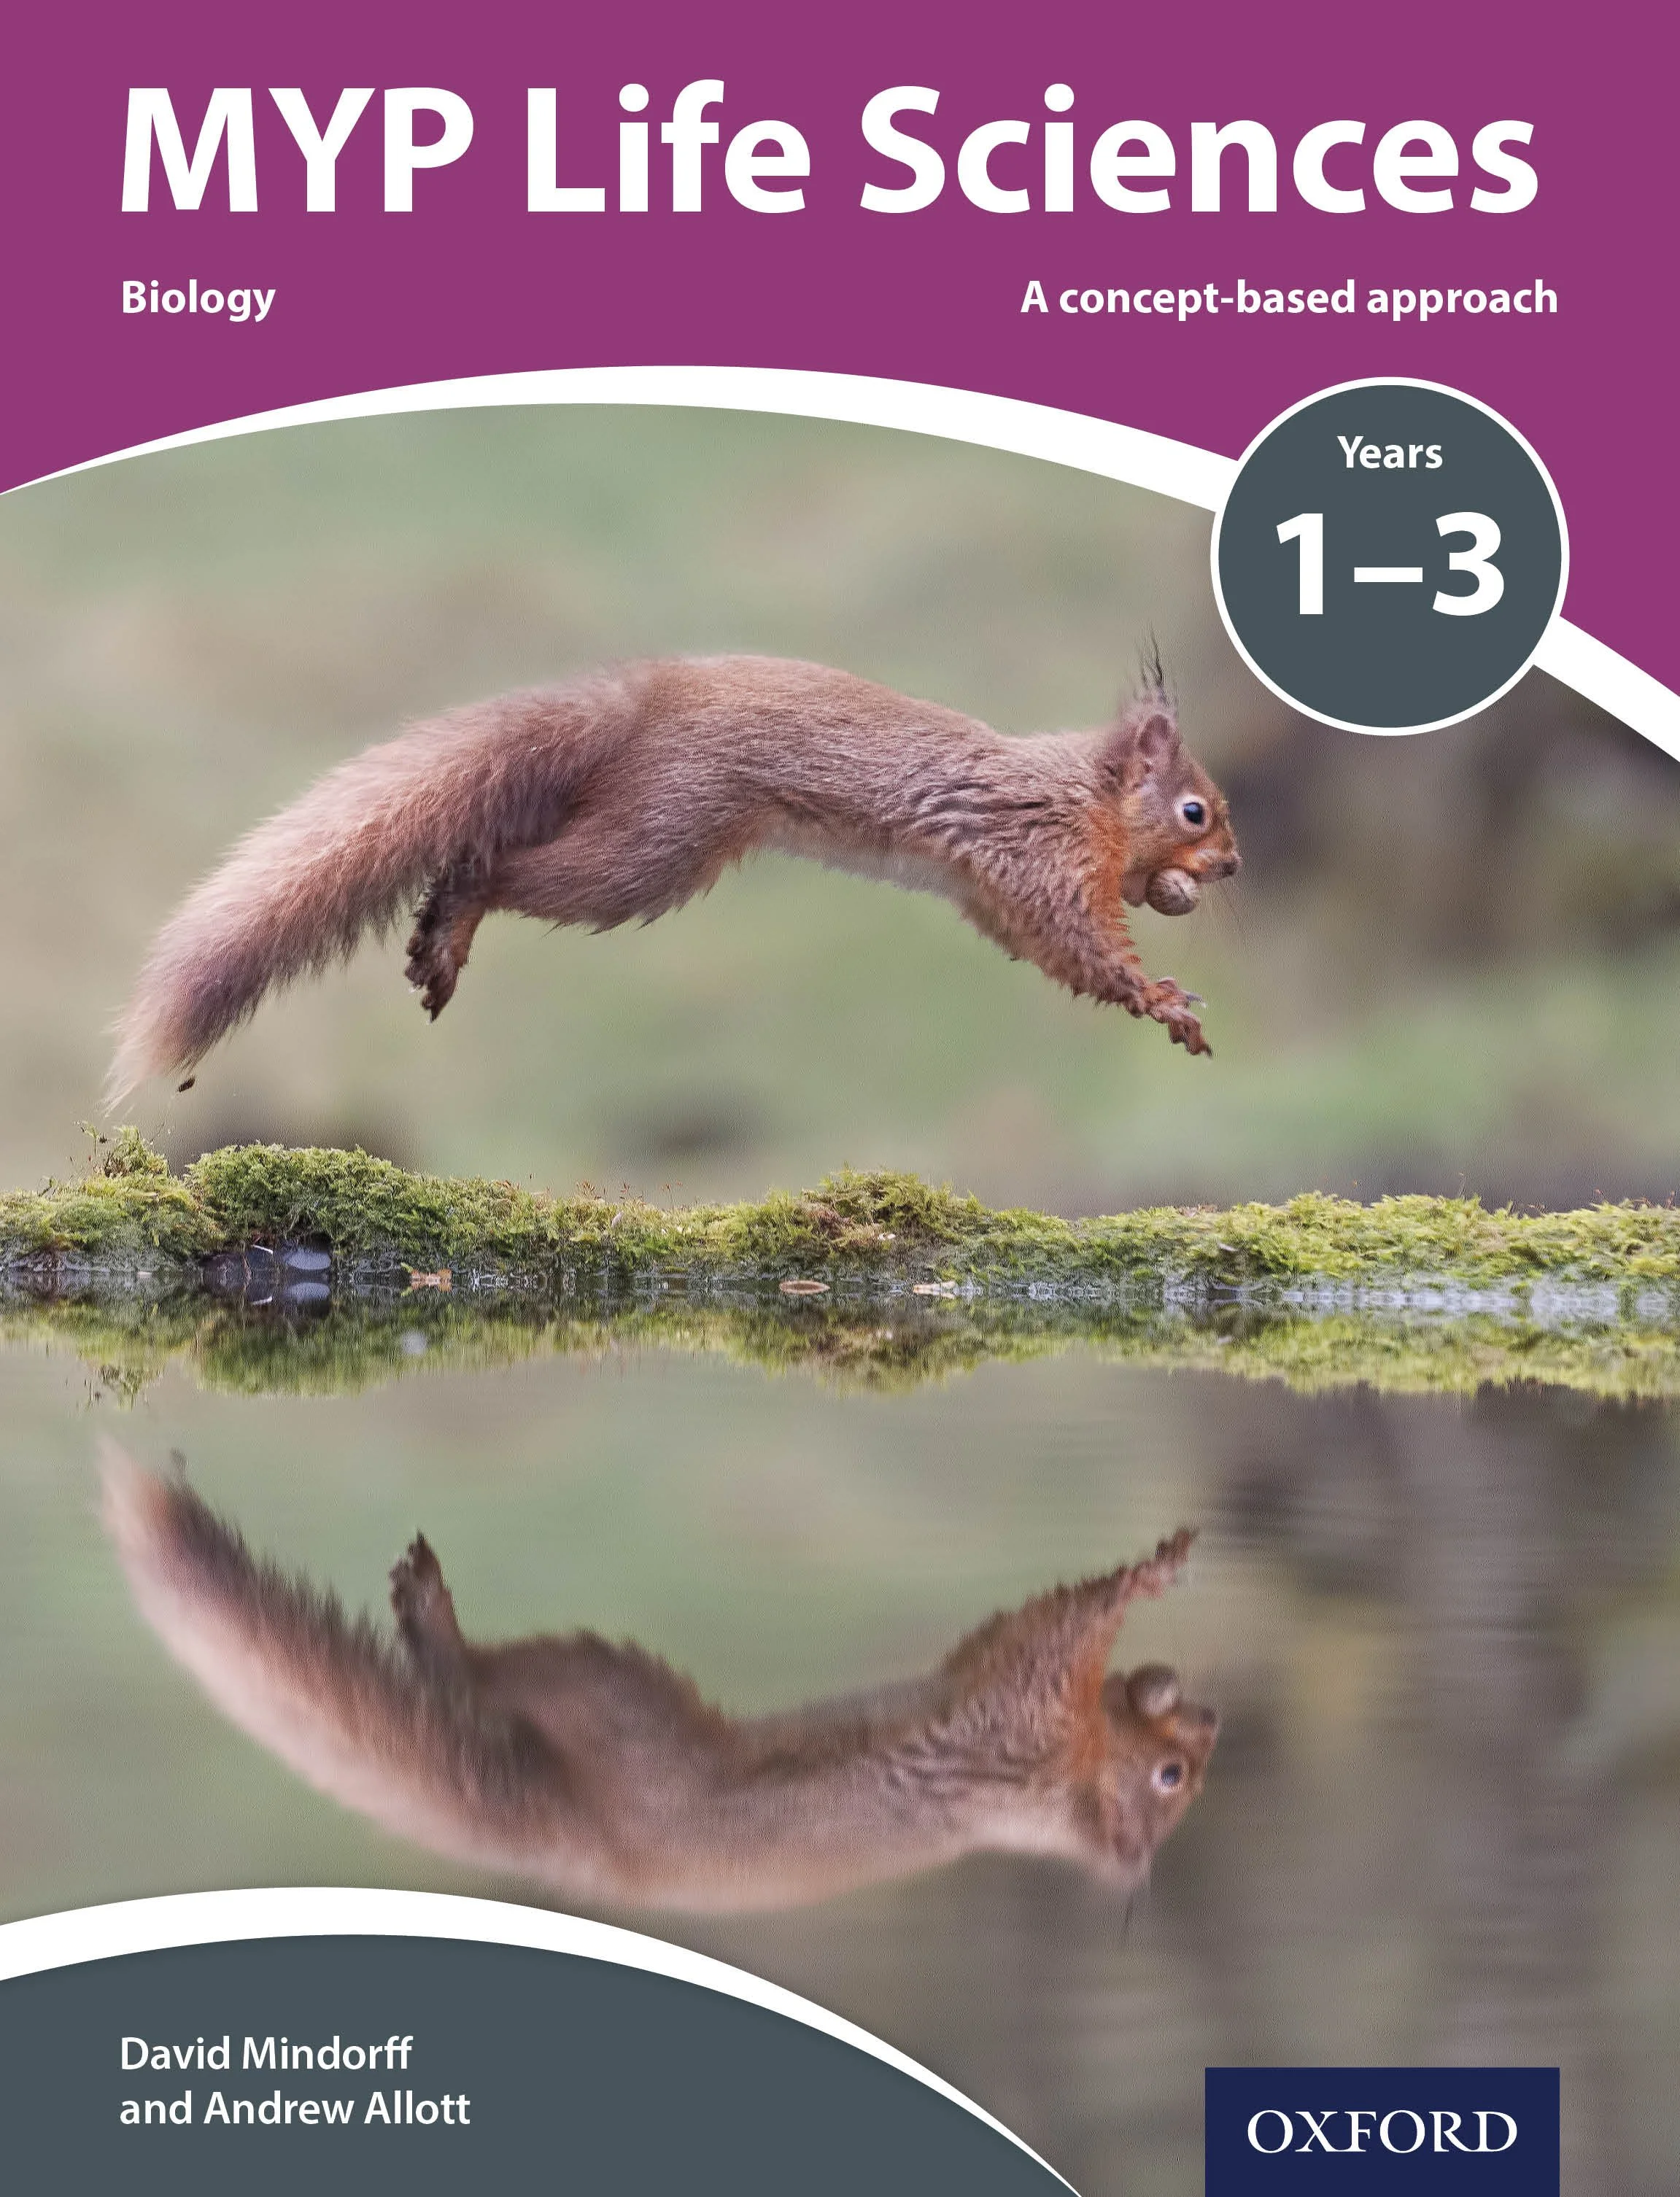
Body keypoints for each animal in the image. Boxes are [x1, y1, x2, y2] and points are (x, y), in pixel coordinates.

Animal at [102, 1446, 1217, 1915]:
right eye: (1171, 1781)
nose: (1211, 1719)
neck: (1042, 1792)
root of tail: (583, 1847)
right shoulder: (1018, 1710)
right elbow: (1057, 1622)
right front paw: (1156, 1570)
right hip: (612, 1691)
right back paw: (427, 1601)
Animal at [107, 653, 1239, 1098]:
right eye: (1195, 810)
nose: (1229, 865)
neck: (1079, 791)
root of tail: (639, 701)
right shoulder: (1036, 855)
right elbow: (1081, 940)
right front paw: (1164, 999)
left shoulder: (992, 892)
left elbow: (1044, 952)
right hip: (657, 845)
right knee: (493, 867)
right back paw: (449, 931)